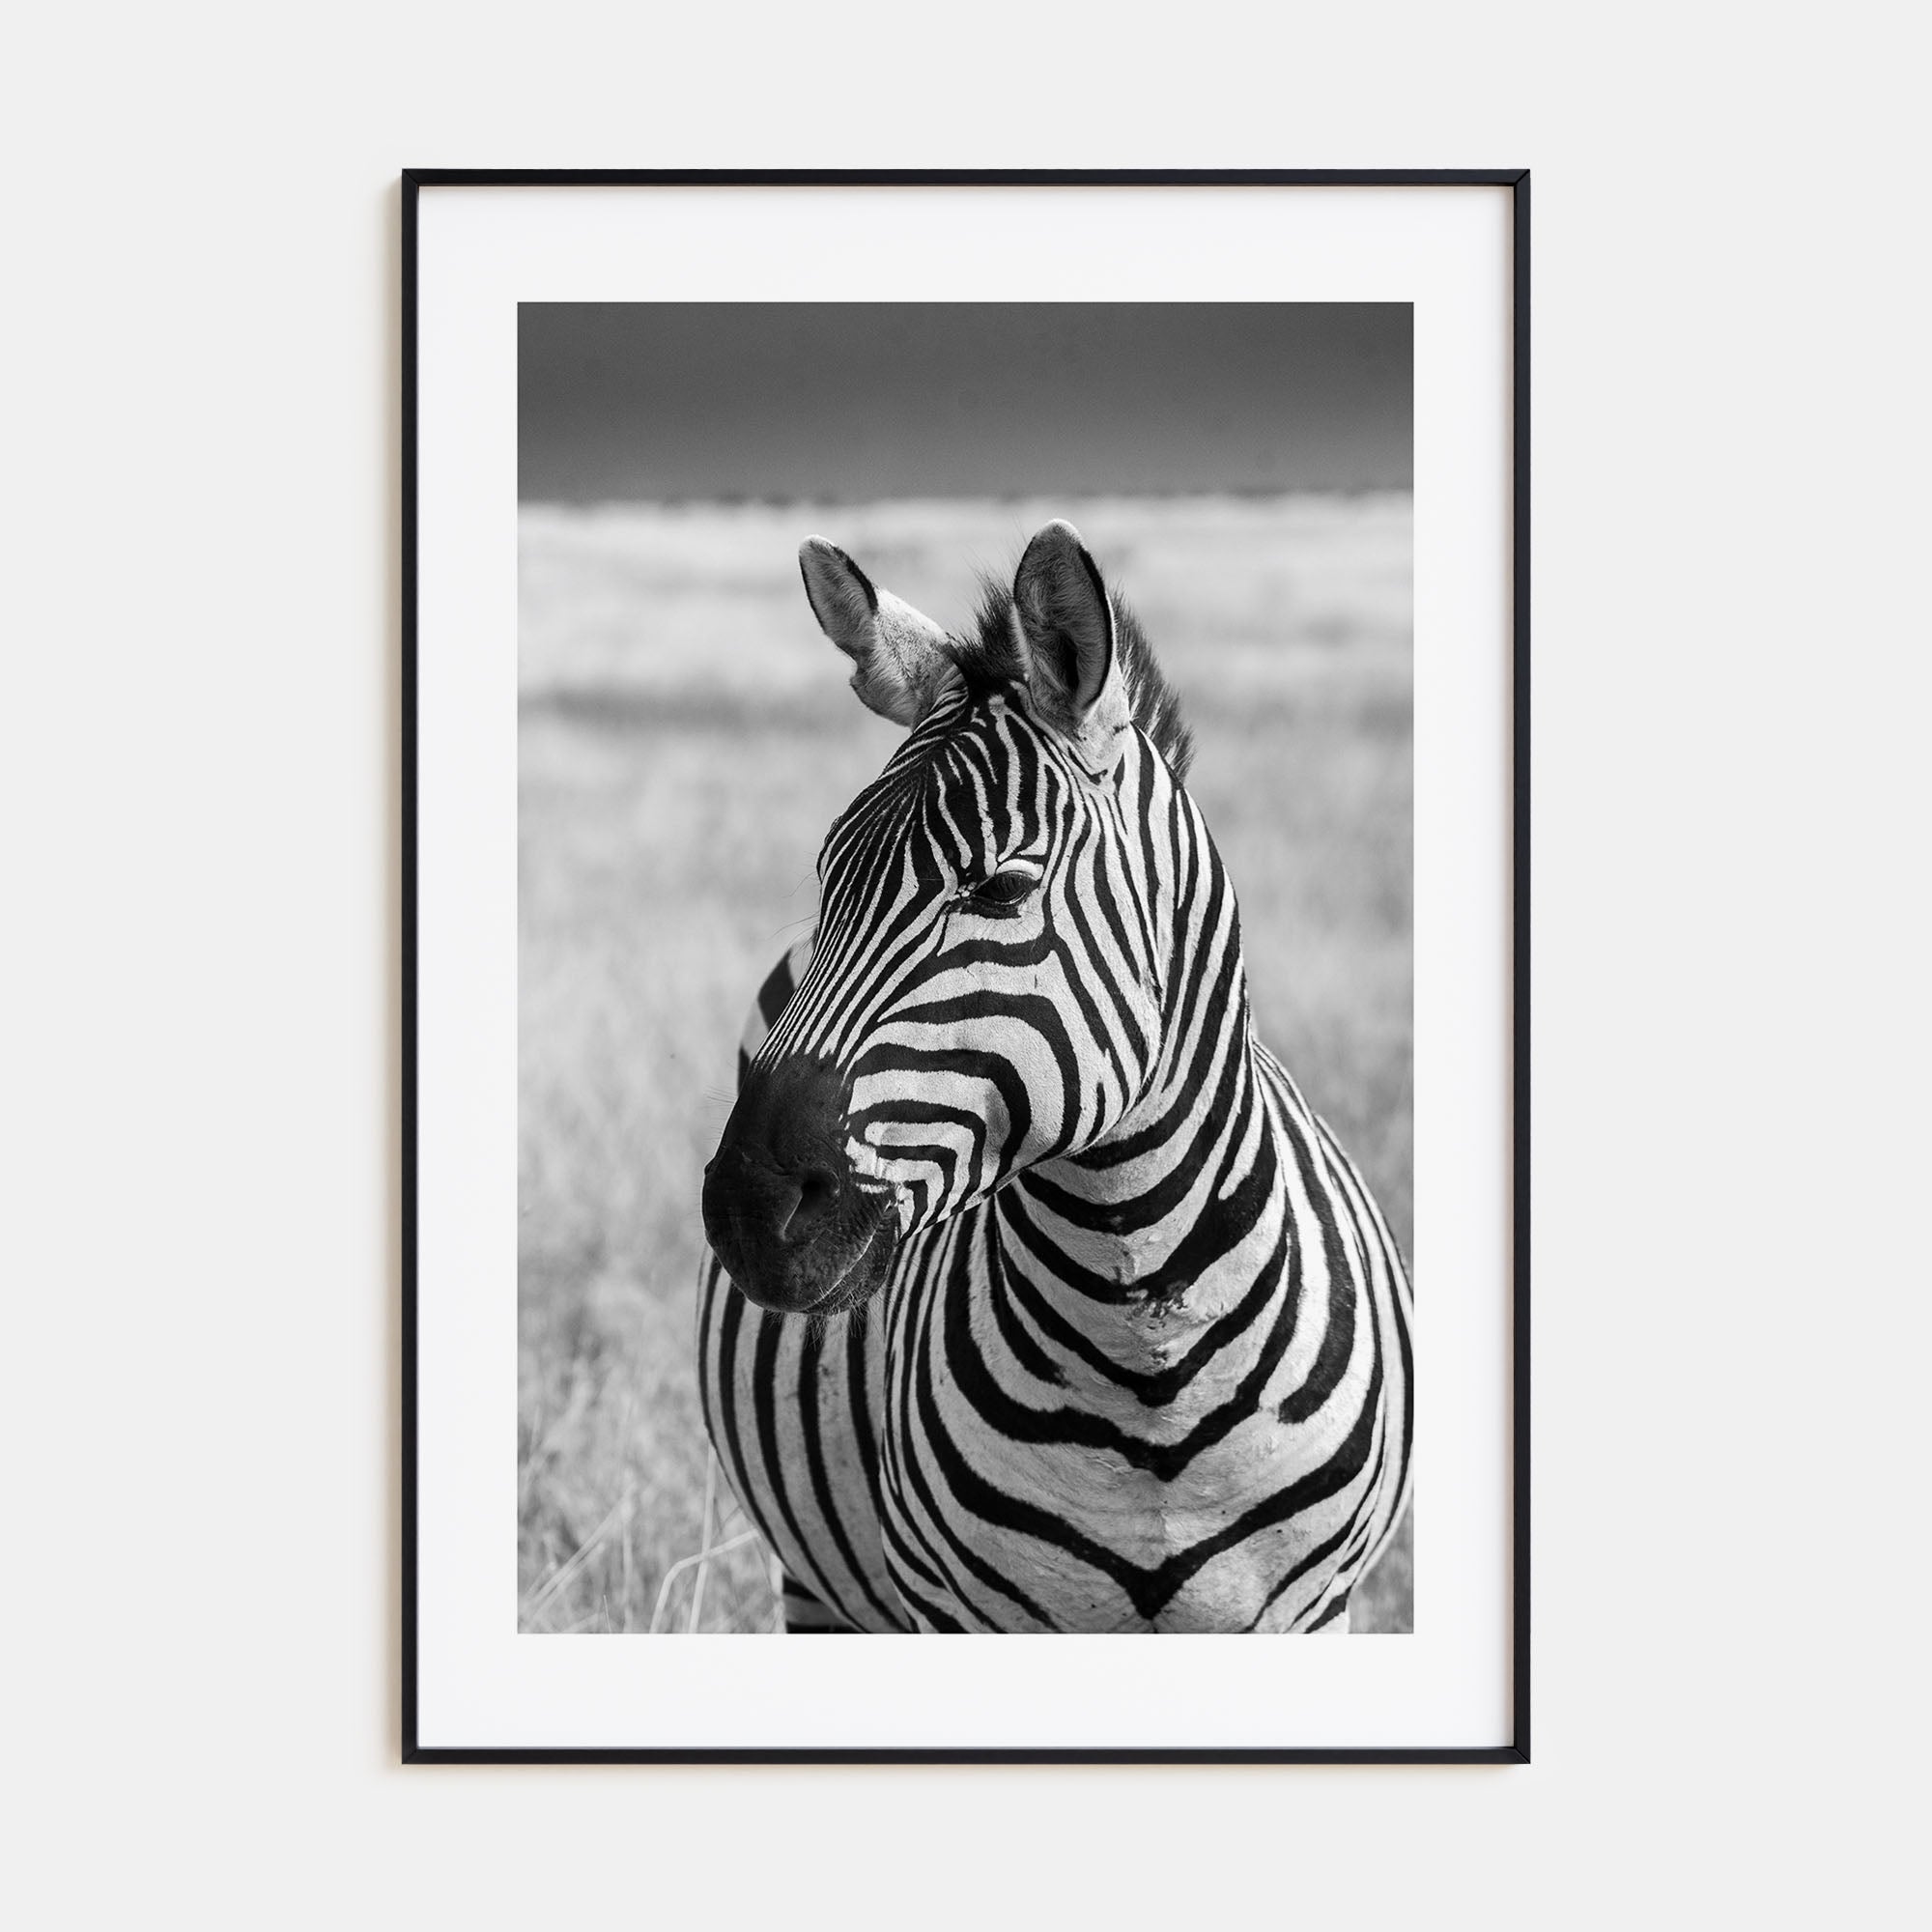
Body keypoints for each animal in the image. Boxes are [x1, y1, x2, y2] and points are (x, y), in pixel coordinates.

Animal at [696, 520, 1412, 1633]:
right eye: (827, 879)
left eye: (998, 887)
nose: (747, 1207)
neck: (1147, 1357)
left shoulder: (1315, 1608)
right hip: (816, 1584)